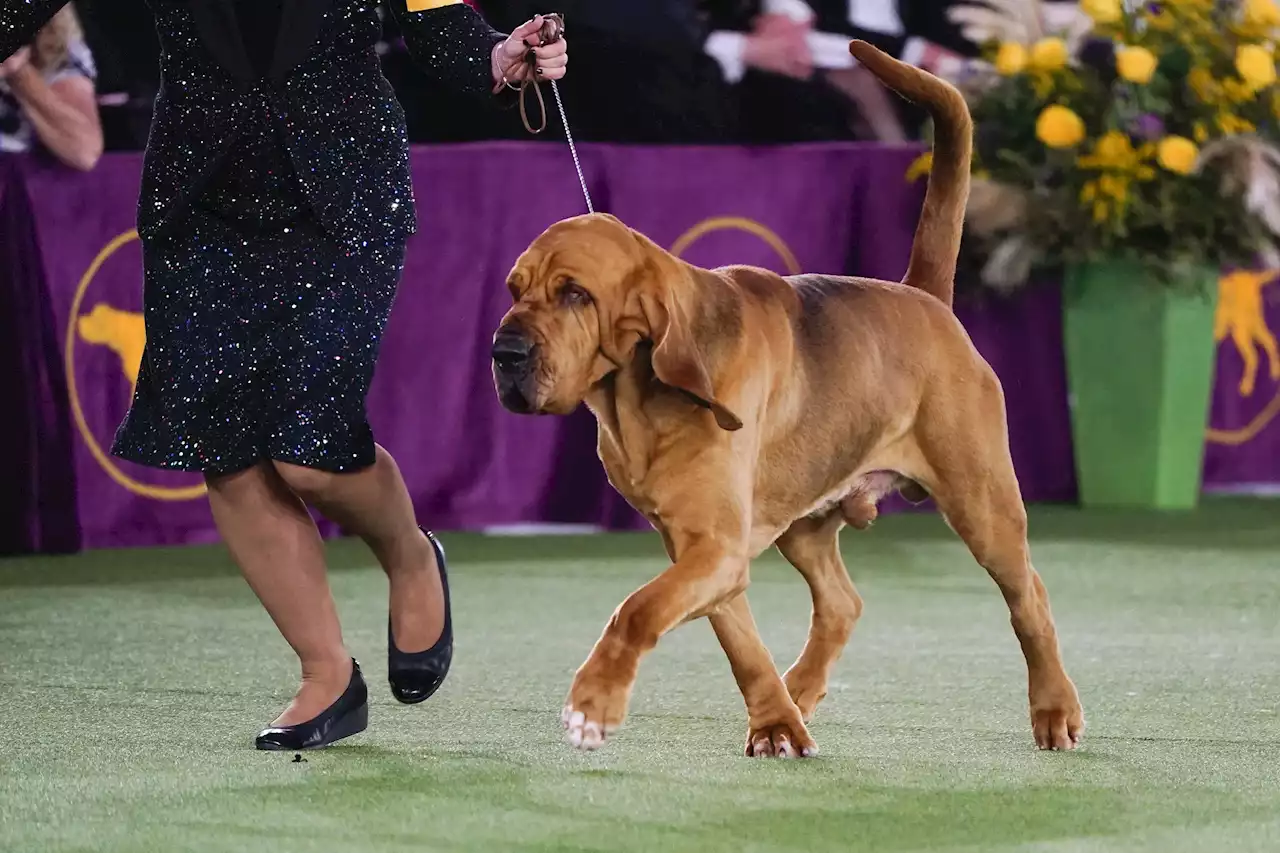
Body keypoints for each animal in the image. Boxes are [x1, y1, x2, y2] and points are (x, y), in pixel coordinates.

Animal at [488, 43, 1080, 753]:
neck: (642, 398)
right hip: (806, 518)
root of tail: (923, 297)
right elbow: (738, 640)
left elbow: (635, 610)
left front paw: (593, 702)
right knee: (842, 604)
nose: (504, 353)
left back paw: (1054, 709)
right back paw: (798, 693)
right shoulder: (702, 550)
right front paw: (774, 721)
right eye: (514, 289)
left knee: (1031, 598)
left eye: (575, 294)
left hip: (983, 505)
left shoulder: (714, 547)